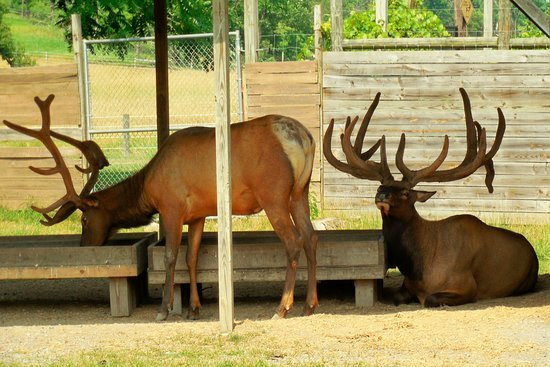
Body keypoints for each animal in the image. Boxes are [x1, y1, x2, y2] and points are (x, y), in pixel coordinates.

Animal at [5, 95, 320, 322]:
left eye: (84, 219)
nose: (84, 247)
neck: (147, 189)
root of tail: (304, 139)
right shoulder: (198, 214)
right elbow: (192, 258)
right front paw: (194, 308)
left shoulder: (171, 207)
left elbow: (170, 256)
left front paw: (164, 308)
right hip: (300, 192)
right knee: (312, 237)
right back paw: (309, 304)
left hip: (273, 195)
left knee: (294, 242)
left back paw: (282, 307)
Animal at [326, 89, 540, 308]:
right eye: (379, 186)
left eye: (405, 193)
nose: (381, 195)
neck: (419, 268)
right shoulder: (406, 286)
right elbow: (396, 297)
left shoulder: (466, 286)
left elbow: (430, 299)